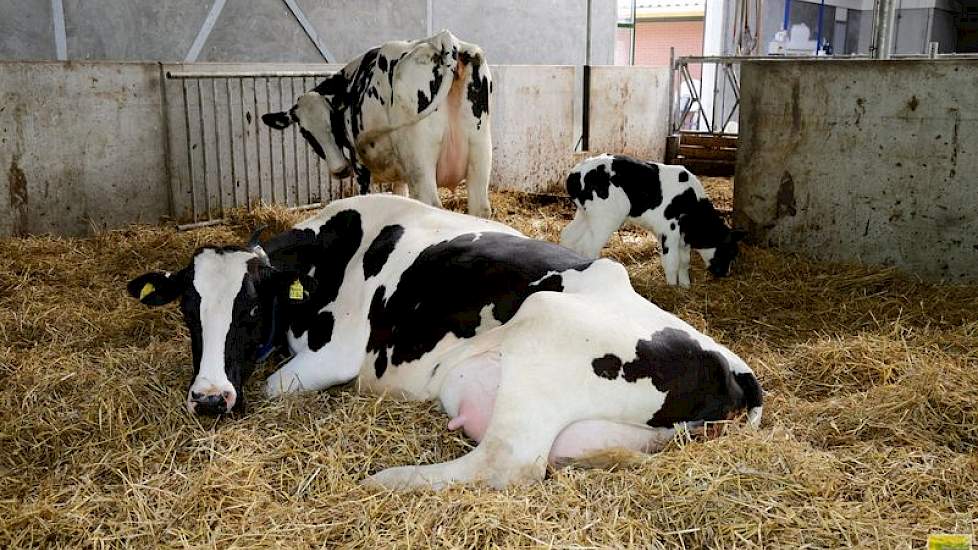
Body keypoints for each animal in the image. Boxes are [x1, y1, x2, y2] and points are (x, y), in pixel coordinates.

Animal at [126, 194, 760, 492]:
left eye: (252, 308)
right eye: (187, 311)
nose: (210, 399)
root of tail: (735, 367)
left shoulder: (336, 353)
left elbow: (279, 385)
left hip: (543, 342)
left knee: (505, 463)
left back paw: (388, 479)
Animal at [260, 30, 492, 218]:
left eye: (333, 122)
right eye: (306, 132)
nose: (339, 170)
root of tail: (444, 40)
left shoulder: (361, 166)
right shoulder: (400, 173)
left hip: (420, 161)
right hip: (480, 151)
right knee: (480, 209)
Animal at [556, 155, 748, 288]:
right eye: (728, 251)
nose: (725, 274)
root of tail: (576, 172)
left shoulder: (682, 238)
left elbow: (684, 261)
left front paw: (685, 286)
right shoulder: (670, 229)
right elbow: (672, 260)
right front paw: (672, 287)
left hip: (585, 214)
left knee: (569, 236)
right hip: (606, 217)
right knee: (588, 247)